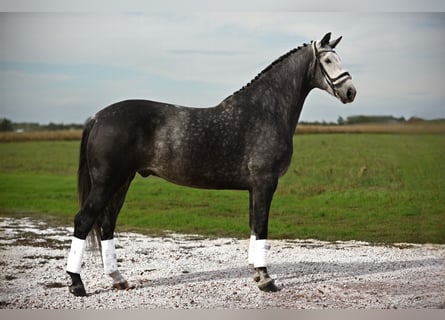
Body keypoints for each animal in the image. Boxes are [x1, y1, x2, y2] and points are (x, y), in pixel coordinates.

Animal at [66, 31, 356, 296]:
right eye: (328, 60)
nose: (350, 92)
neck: (265, 111)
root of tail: (98, 117)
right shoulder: (265, 183)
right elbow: (262, 227)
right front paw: (266, 280)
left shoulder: (255, 188)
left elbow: (254, 226)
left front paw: (256, 274)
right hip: (107, 182)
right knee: (83, 220)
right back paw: (77, 285)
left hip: (122, 182)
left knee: (107, 225)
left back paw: (118, 279)